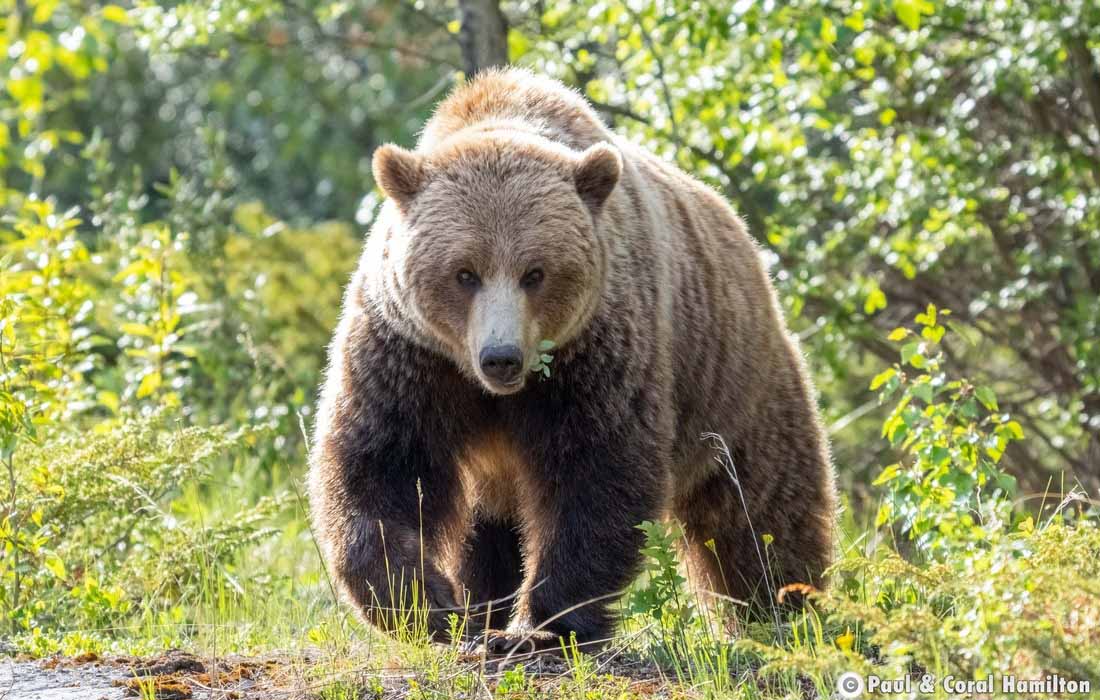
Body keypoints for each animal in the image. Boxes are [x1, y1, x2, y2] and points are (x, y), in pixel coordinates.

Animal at [308, 68, 831, 651]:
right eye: (465, 272)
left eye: (534, 272)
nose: (501, 358)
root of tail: (742, 234)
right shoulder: (409, 355)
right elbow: (380, 463)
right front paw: (428, 603)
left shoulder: (596, 355)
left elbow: (595, 475)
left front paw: (543, 624)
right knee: (489, 527)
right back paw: (483, 601)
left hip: (733, 382)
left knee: (755, 504)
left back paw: (780, 605)